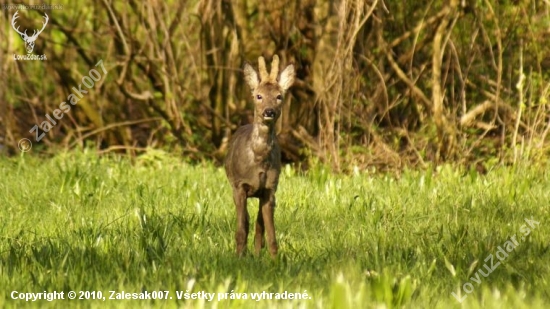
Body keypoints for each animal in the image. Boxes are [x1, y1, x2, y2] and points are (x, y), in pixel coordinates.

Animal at [226, 54, 298, 258]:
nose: (269, 111)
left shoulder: (270, 188)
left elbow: (269, 231)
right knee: (247, 221)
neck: (258, 160)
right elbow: (241, 228)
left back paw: (258, 254)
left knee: (259, 227)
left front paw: (274, 259)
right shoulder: (239, 185)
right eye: (258, 96)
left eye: (279, 96)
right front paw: (239, 257)